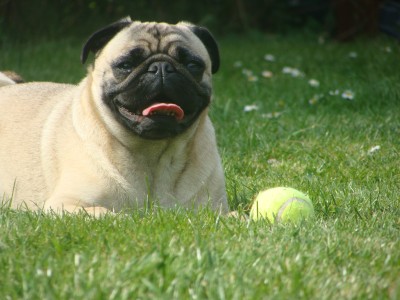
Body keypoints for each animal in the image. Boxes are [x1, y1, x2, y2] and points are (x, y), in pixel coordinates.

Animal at [0, 17, 228, 216]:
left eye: (192, 65)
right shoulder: (67, 204)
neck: (151, 154)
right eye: (126, 65)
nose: (161, 68)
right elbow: (113, 215)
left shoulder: (213, 209)